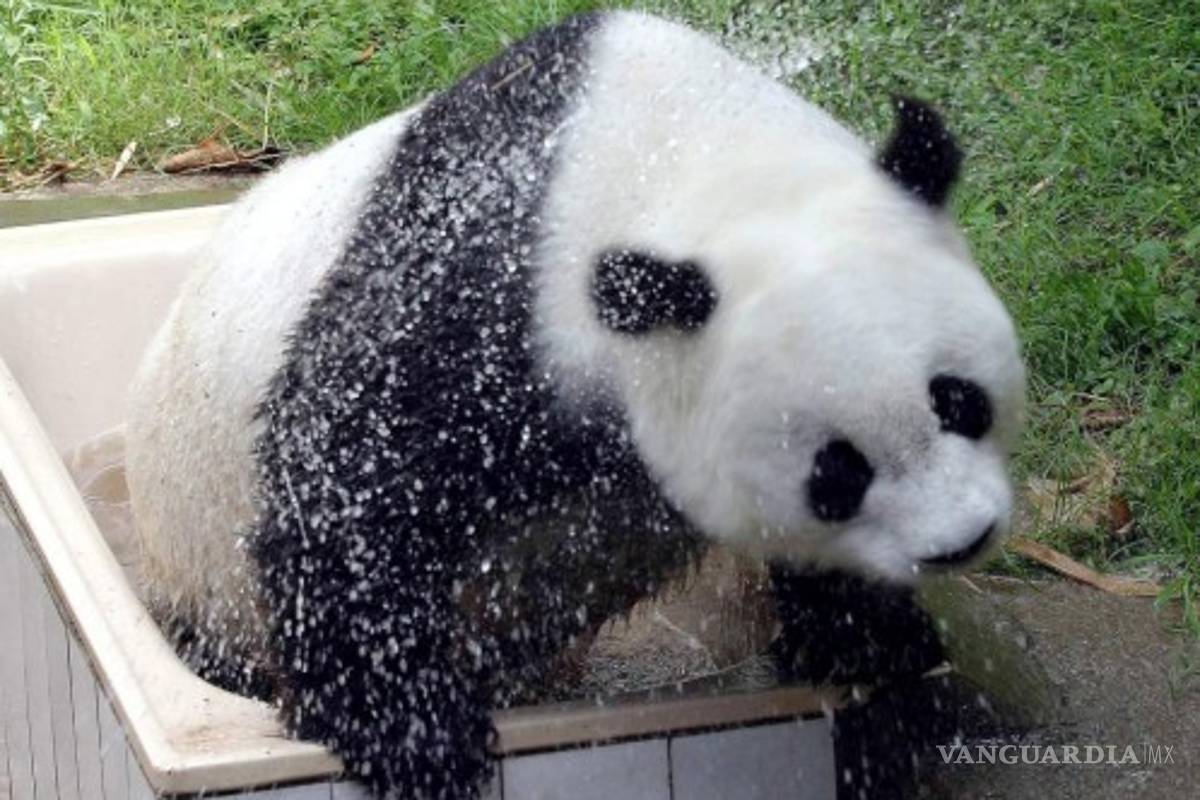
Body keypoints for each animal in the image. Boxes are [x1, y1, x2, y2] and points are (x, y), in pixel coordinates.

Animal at [125, 10, 1024, 800]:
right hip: (196, 564)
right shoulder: (487, 292)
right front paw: (411, 734)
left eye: (961, 402)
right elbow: (355, 473)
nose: (962, 541)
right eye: (836, 471)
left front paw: (870, 638)